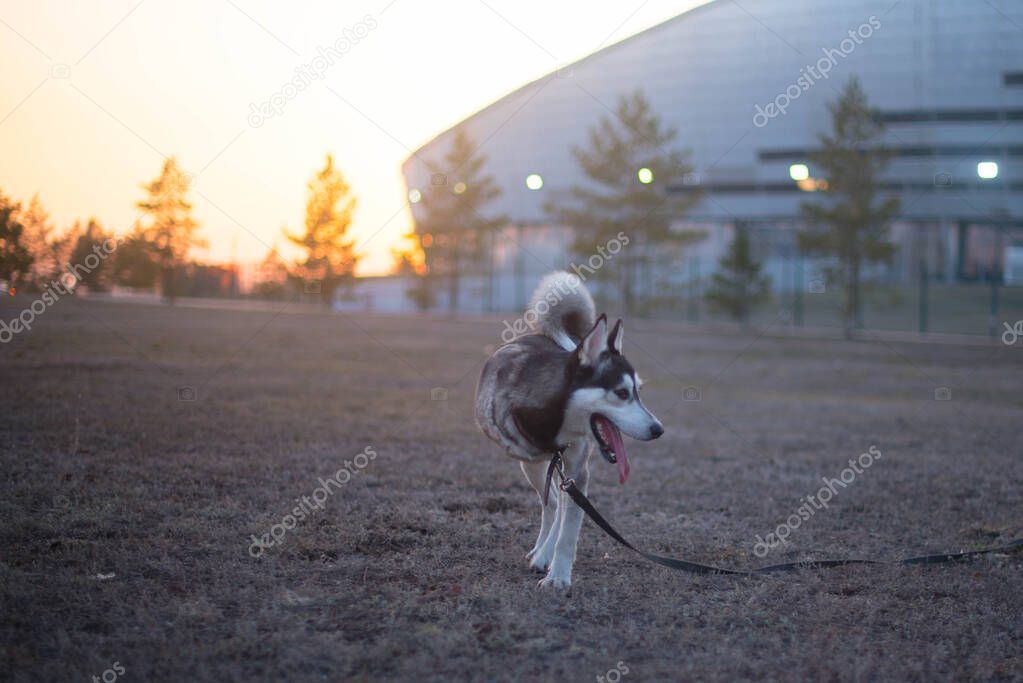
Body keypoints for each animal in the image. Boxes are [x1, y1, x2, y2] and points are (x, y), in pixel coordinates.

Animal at [472, 269, 662, 588]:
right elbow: (555, 508)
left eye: (638, 391)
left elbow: (566, 529)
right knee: (549, 503)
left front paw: (557, 575)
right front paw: (548, 562)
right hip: (532, 466)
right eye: (622, 393)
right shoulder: (535, 460)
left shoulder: (575, 469)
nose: (658, 429)